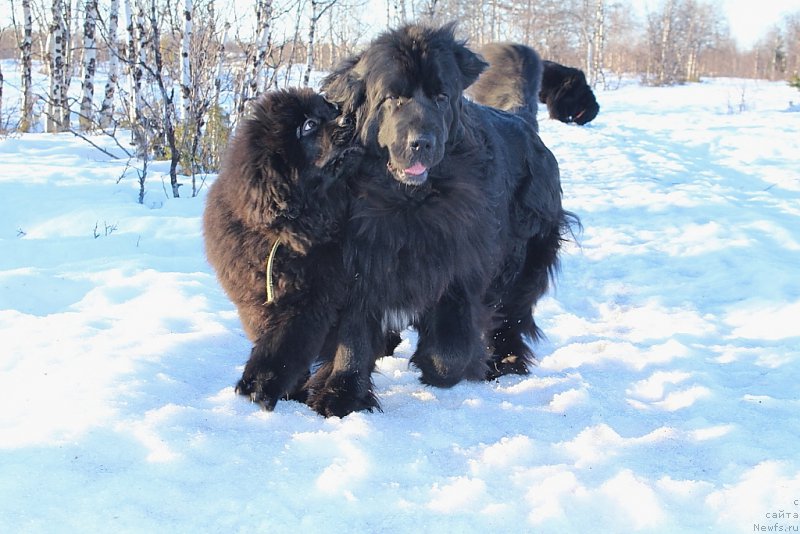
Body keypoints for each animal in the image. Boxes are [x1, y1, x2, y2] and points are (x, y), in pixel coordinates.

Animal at [202, 90, 358, 412]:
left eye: (330, 110)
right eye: (309, 125)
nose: (350, 117)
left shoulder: (310, 296)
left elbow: (283, 342)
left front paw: (260, 385)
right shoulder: (252, 300)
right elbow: (270, 337)